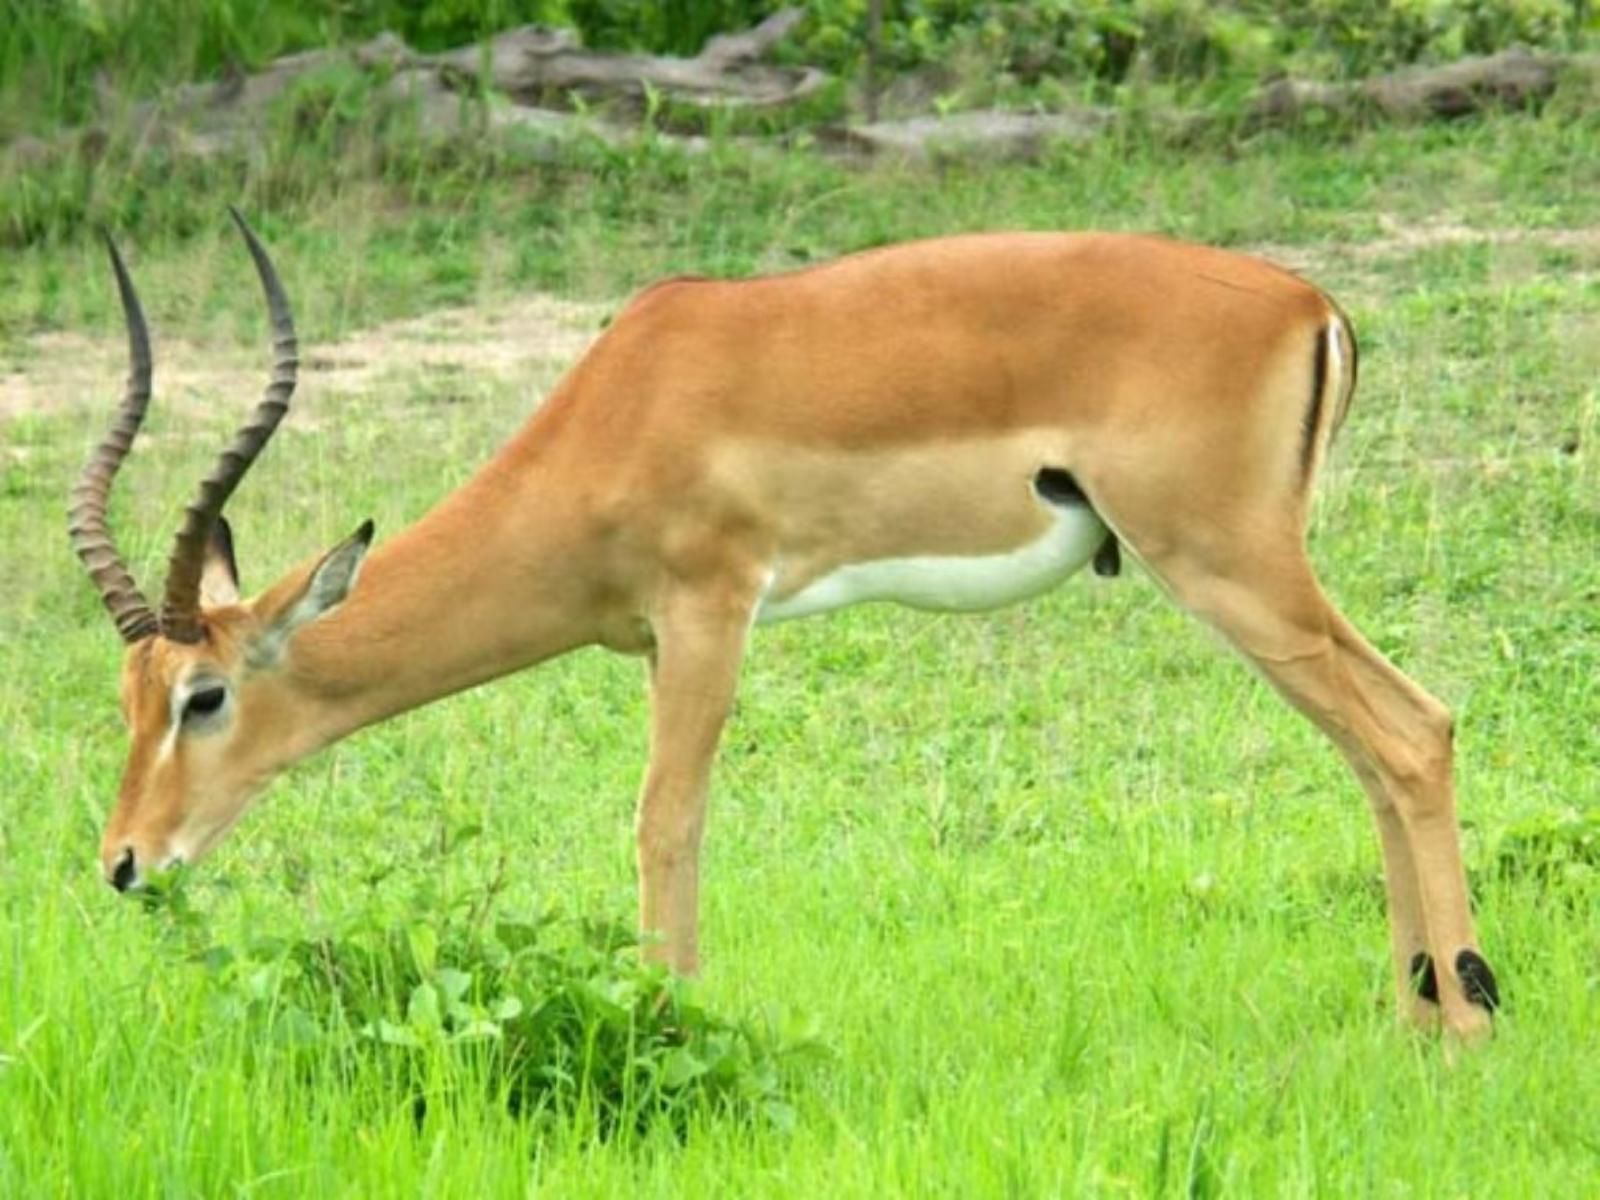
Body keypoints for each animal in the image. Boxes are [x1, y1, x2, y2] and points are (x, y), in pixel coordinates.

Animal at [72, 206, 1497, 1036]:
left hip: (1229, 568)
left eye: (205, 695)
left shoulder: (710, 611)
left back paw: (1470, 1022)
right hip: (1249, 581)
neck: (624, 408)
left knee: (1411, 730)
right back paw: (1415, 1016)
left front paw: (671, 1022)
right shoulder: (661, 638)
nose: (125, 863)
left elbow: (665, 819)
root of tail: (1311, 304)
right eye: (127, 702)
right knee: (1375, 749)